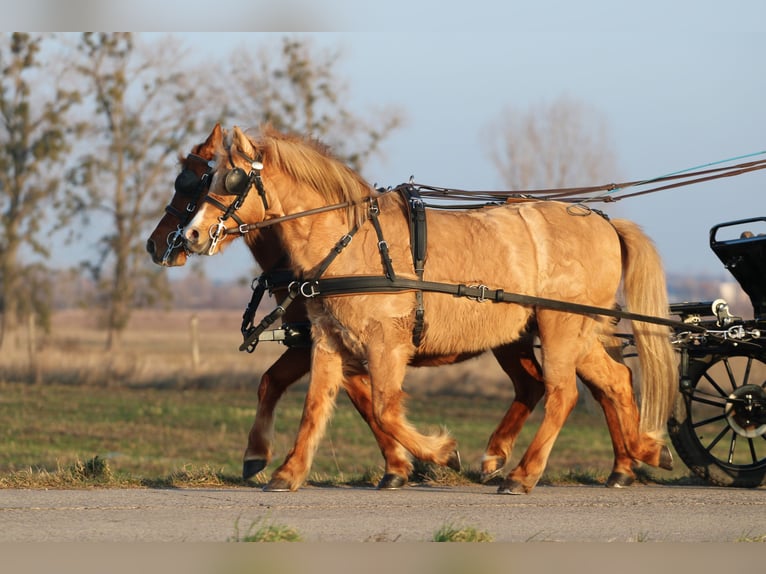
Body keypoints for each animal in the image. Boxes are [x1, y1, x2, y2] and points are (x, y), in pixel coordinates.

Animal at [159, 124, 676, 492]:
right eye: (202, 178)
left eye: (231, 179)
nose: (187, 237)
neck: (352, 242)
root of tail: (604, 221)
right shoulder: (327, 340)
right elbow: (314, 405)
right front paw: (288, 471)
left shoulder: (385, 345)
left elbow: (385, 408)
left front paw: (439, 454)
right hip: (571, 331)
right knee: (615, 381)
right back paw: (639, 454)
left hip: (560, 325)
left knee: (563, 393)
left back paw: (523, 474)